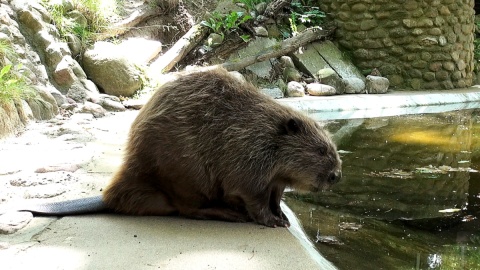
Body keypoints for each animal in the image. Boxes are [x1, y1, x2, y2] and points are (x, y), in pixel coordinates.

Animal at [2, 67, 342, 228]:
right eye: (321, 151)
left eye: (331, 150)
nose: (337, 176)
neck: (266, 133)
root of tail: (110, 197)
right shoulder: (248, 158)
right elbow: (253, 196)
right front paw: (274, 222)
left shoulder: (274, 177)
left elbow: (275, 195)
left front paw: (283, 216)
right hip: (185, 174)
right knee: (188, 208)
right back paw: (227, 213)